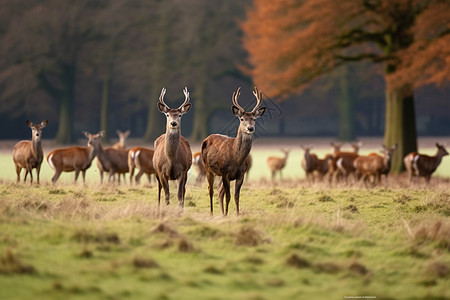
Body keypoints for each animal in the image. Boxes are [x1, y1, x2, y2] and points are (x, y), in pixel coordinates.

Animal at [201, 86, 268, 216]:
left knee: (219, 191)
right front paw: (227, 214)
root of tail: (207, 138)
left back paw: (221, 213)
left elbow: (237, 196)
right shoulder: (225, 172)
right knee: (211, 190)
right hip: (208, 168)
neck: (237, 158)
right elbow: (228, 196)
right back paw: (212, 213)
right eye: (242, 119)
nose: (250, 128)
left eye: (254, 119)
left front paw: (237, 214)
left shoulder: (240, 174)